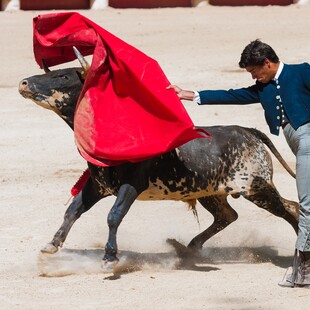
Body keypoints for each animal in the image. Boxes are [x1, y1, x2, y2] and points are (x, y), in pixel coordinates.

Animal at [18, 49, 300, 270]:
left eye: (63, 76)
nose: (23, 83)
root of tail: (247, 131)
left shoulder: (131, 185)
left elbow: (113, 215)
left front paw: (109, 258)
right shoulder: (97, 186)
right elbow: (73, 210)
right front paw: (51, 245)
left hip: (255, 187)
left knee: (289, 208)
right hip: (212, 192)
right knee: (228, 215)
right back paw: (188, 248)